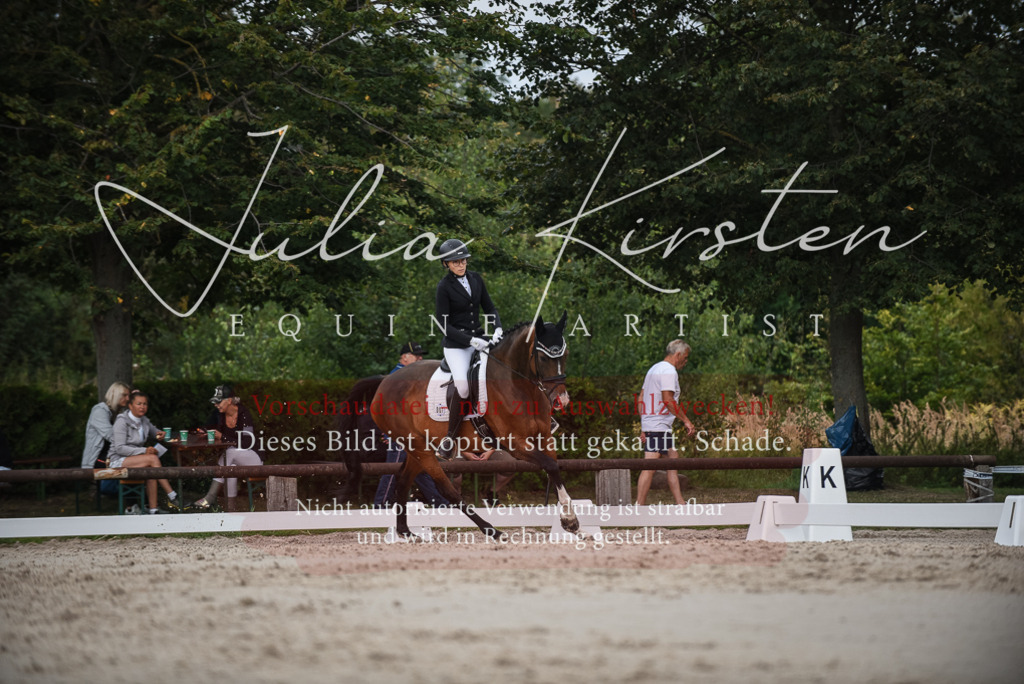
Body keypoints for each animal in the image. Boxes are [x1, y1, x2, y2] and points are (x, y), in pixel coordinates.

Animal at [370, 312, 579, 540]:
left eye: (566, 355)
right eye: (542, 358)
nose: (561, 400)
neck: (518, 384)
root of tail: (385, 382)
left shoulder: (545, 438)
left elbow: (554, 469)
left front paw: (568, 519)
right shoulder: (515, 444)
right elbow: (550, 466)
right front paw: (570, 521)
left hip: (418, 448)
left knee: (402, 480)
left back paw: (405, 532)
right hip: (419, 448)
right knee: (447, 489)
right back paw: (492, 530)